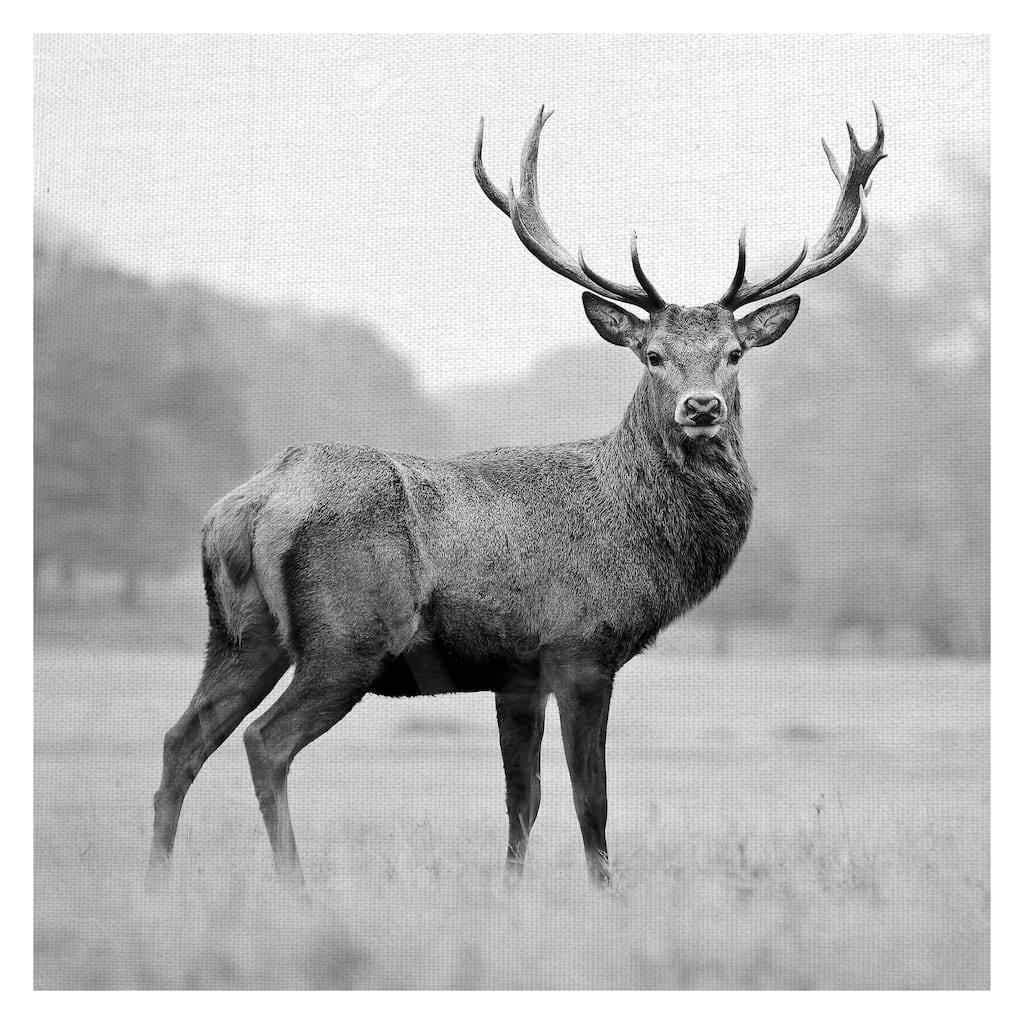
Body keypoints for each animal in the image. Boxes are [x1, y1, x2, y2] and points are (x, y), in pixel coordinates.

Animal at [149, 105, 885, 889]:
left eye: (735, 353)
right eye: (652, 354)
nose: (702, 407)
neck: (639, 533)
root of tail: (252, 505)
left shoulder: (515, 673)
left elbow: (521, 802)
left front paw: (510, 892)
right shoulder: (580, 647)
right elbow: (591, 801)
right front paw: (604, 893)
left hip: (238, 634)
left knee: (181, 739)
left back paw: (156, 877)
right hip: (347, 638)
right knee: (266, 741)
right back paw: (293, 883)